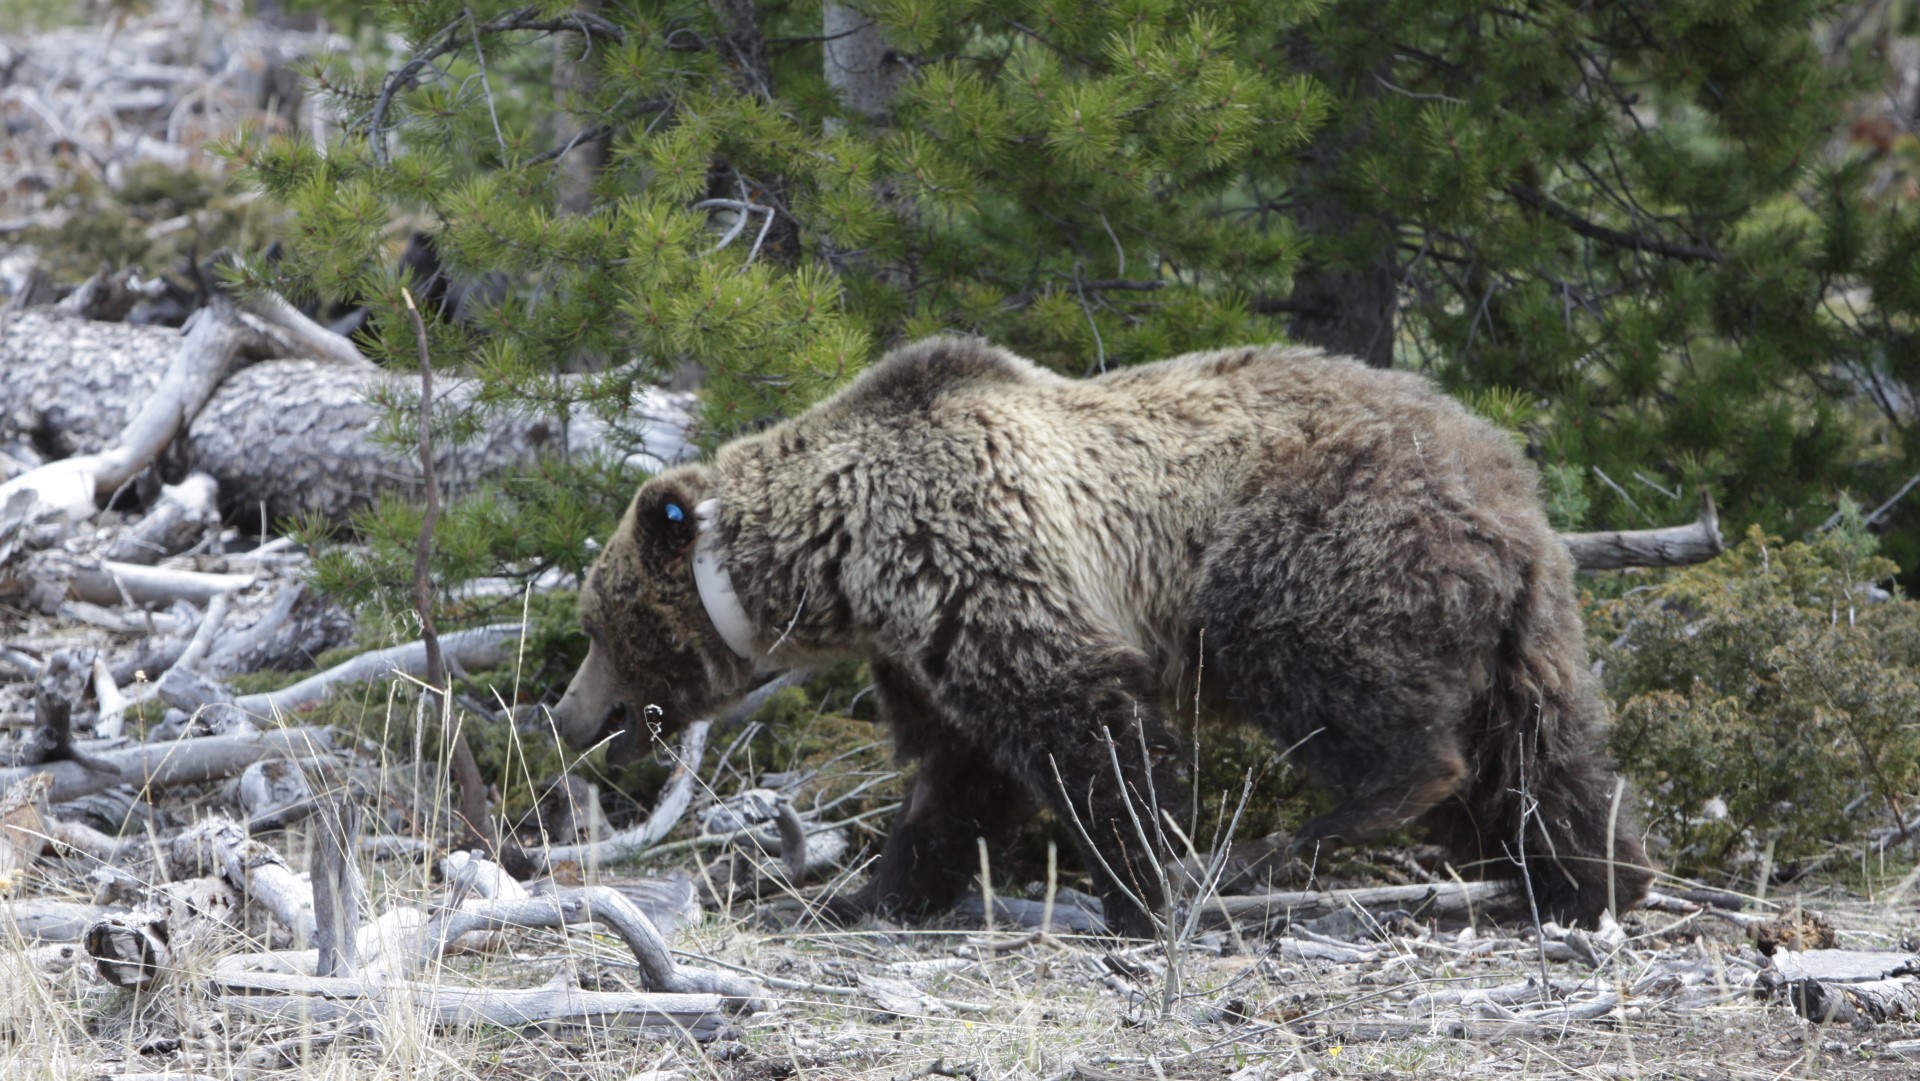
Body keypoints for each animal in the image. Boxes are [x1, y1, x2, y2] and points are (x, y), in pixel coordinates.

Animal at [549, 336, 1656, 938]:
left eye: (597, 624)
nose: (567, 713)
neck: (842, 556)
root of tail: (1513, 493)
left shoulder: (980, 556)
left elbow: (1086, 733)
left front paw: (1140, 890)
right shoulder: (922, 640)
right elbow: (960, 775)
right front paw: (882, 888)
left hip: (1319, 540)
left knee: (1333, 676)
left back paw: (1290, 837)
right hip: (1521, 626)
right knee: (1543, 752)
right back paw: (1588, 879)